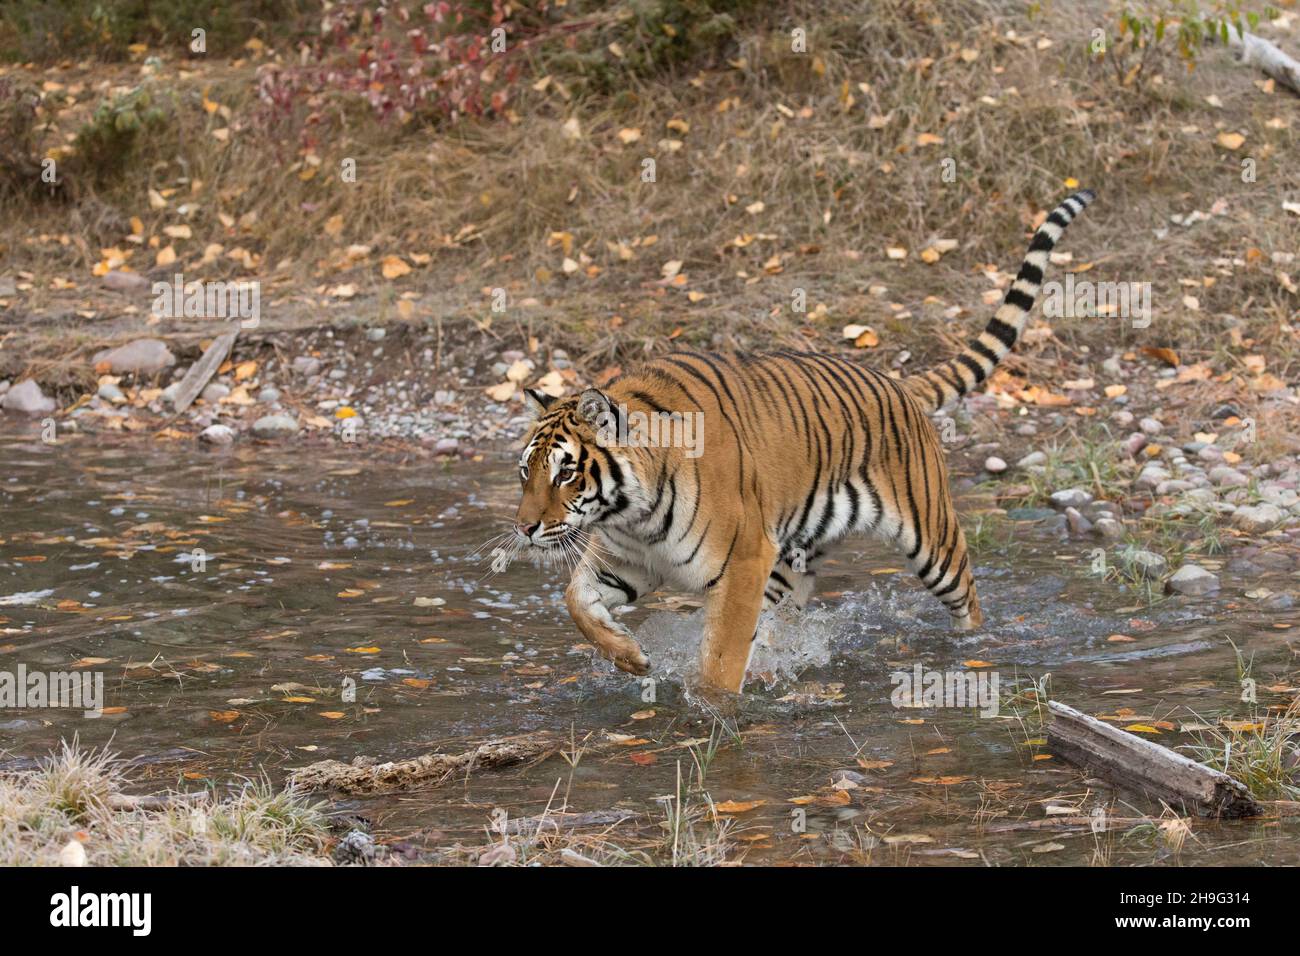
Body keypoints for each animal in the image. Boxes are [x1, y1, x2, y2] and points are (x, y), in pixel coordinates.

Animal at [509, 191, 1097, 691]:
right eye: (525, 472)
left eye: (566, 472)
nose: (525, 529)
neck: (631, 512)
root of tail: (898, 382)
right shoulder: (631, 559)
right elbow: (576, 600)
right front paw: (630, 656)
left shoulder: (743, 559)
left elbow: (721, 657)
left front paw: (712, 712)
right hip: (789, 562)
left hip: (933, 539)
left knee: (967, 600)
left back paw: (975, 646)